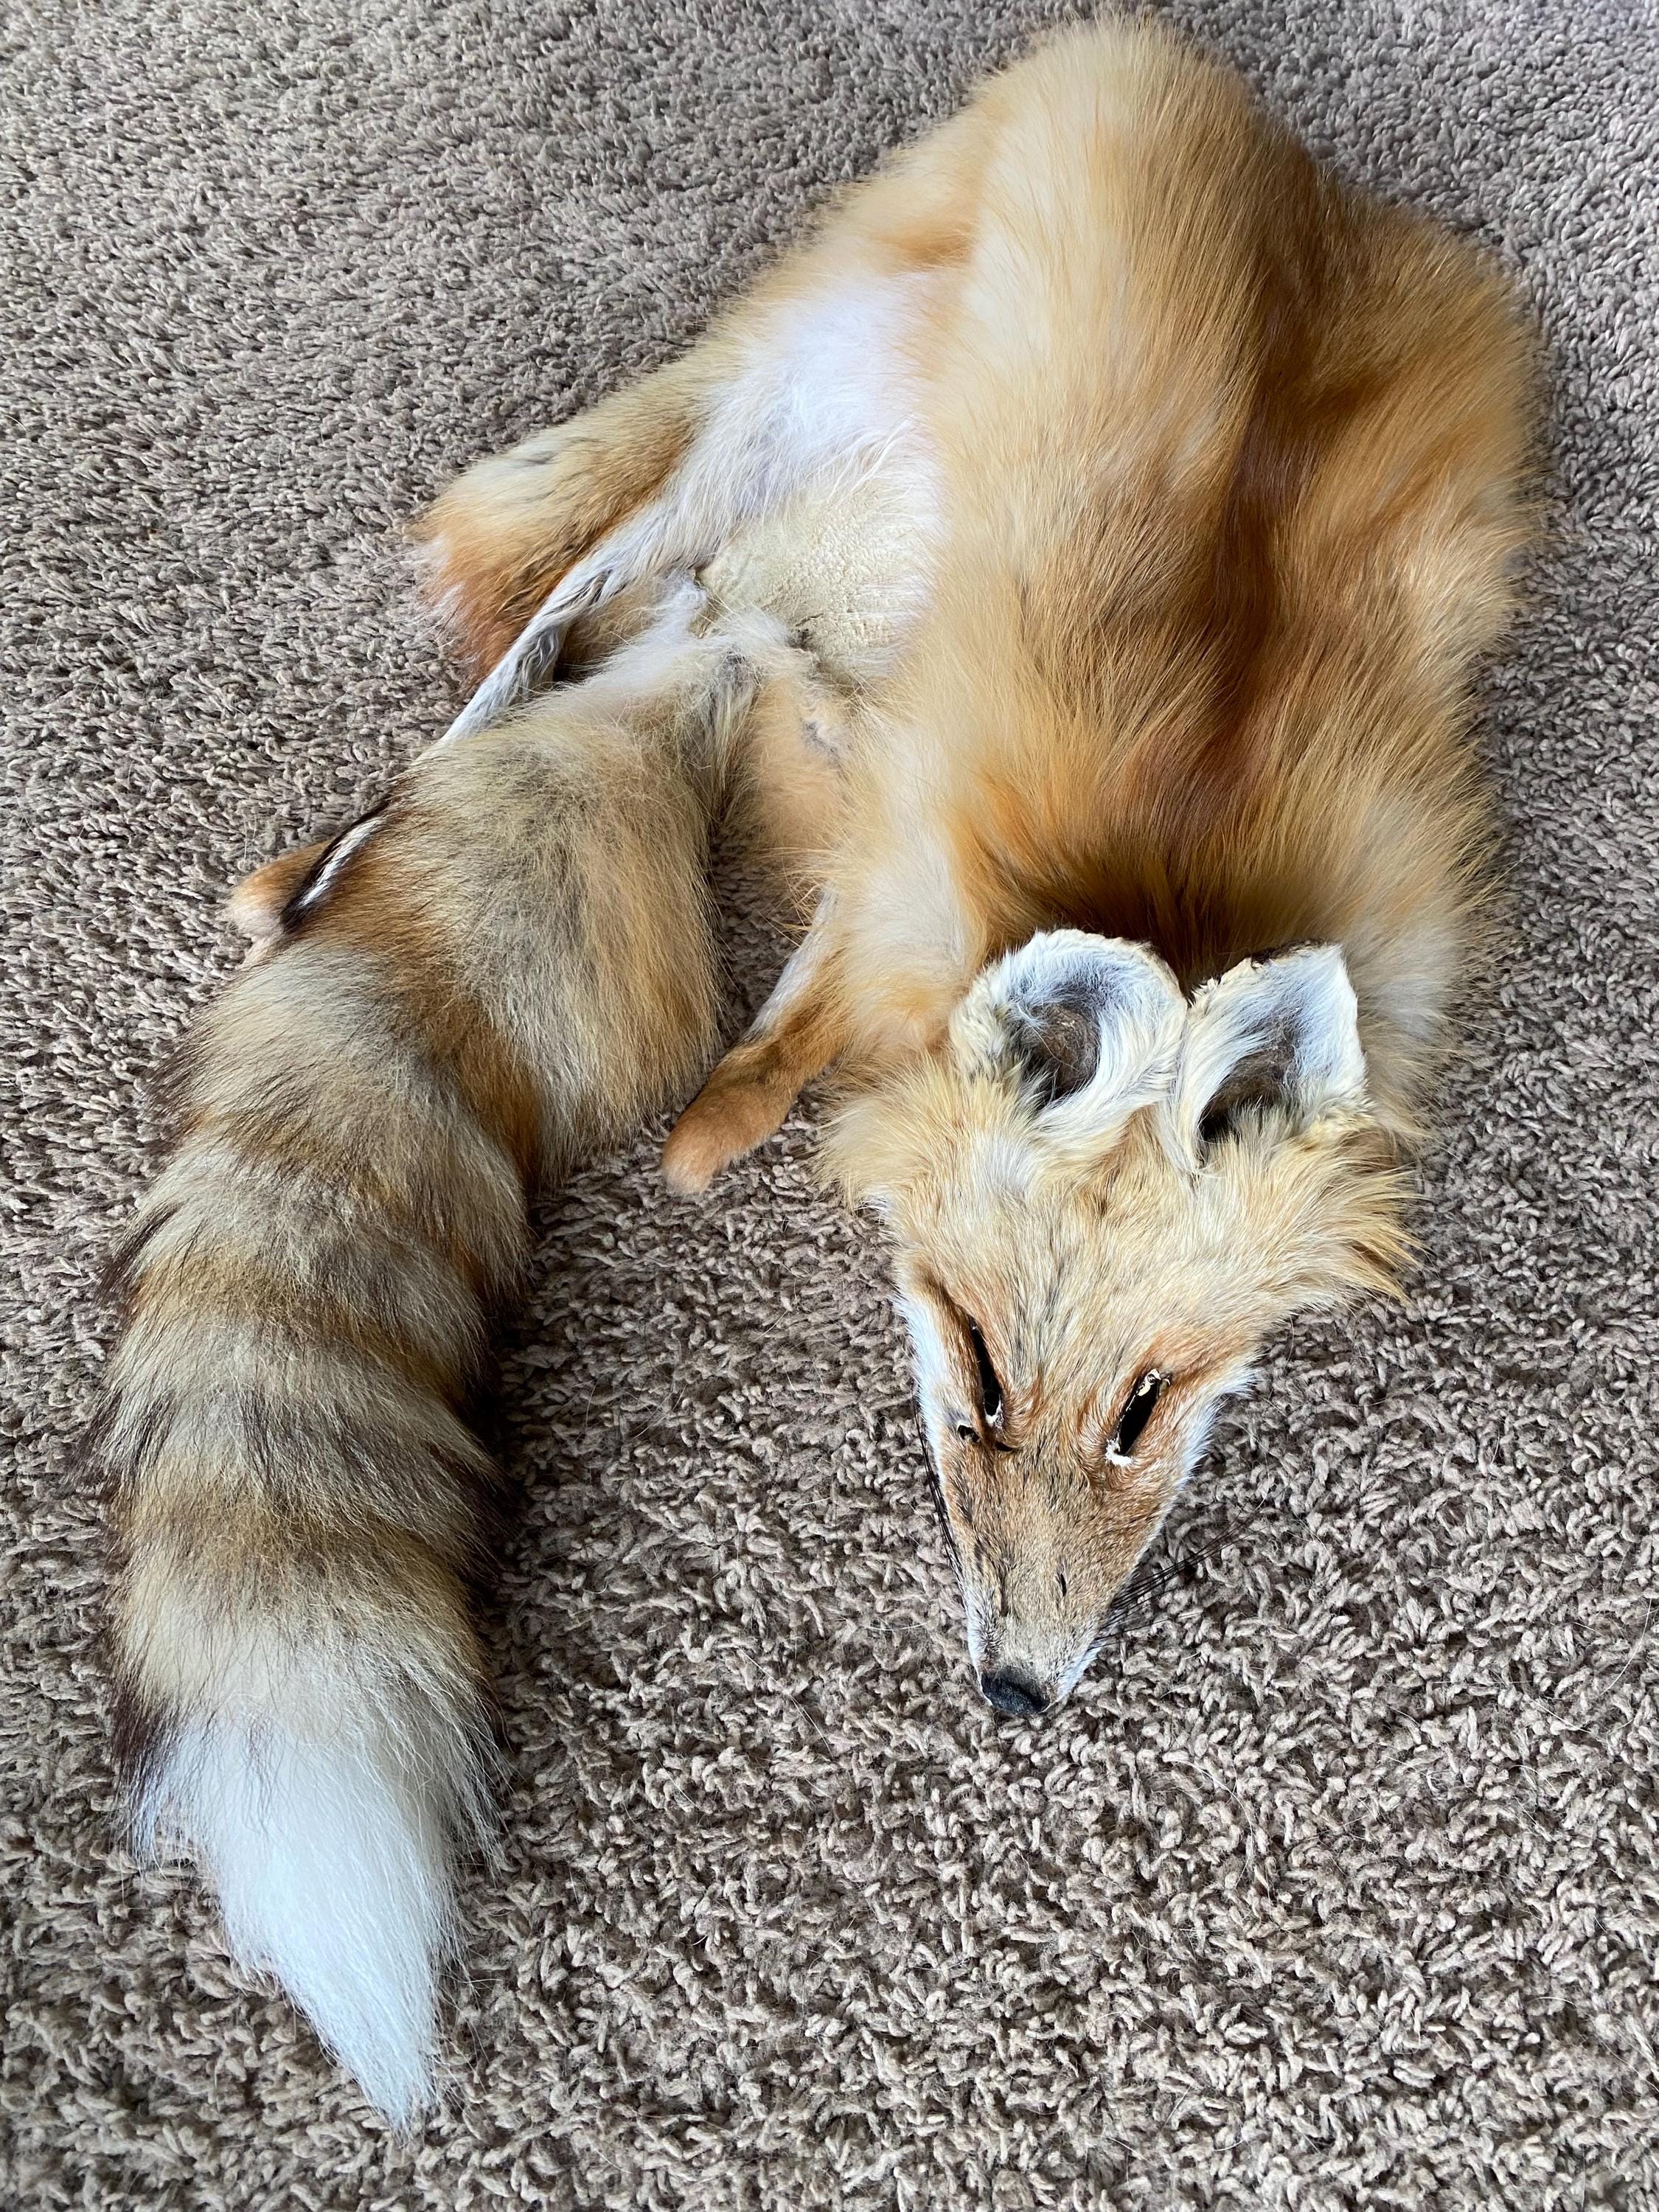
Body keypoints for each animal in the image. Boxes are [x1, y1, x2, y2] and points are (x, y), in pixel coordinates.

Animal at [97, 19, 1537, 2120]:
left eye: (1147, 1406)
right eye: (981, 1375)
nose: (1018, 1694)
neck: (1174, 849)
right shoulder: (893, 804)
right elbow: (778, 1036)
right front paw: (729, 1104)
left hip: (754, 537)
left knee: (606, 639)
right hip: (746, 452)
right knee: (543, 636)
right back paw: (322, 867)